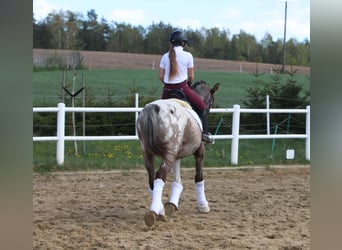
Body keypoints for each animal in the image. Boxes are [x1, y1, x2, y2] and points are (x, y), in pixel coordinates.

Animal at [136, 80, 219, 227]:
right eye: (211, 101)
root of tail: (152, 108)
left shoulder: (176, 155)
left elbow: (177, 180)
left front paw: (172, 204)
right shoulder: (199, 151)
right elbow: (199, 177)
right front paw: (203, 206)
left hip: (148, 153)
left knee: (152, 179)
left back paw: (160, 211)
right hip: (168, 154)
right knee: (160, 176)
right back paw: (154, 214)